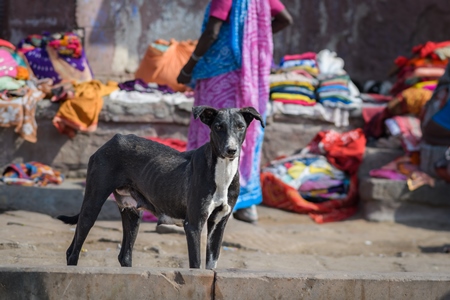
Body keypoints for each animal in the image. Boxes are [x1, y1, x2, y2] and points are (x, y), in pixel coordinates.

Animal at [58, 106, 266, 270]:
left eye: (240, 126)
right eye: (218, 127)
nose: (231, 150)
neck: (222, 171)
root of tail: (111, 141)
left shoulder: (218, 224)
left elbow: (210, 265)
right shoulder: (193, 224)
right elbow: (196, 265)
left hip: (132, 213)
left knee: (124, 255)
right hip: (92, 204)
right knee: (73, 251)